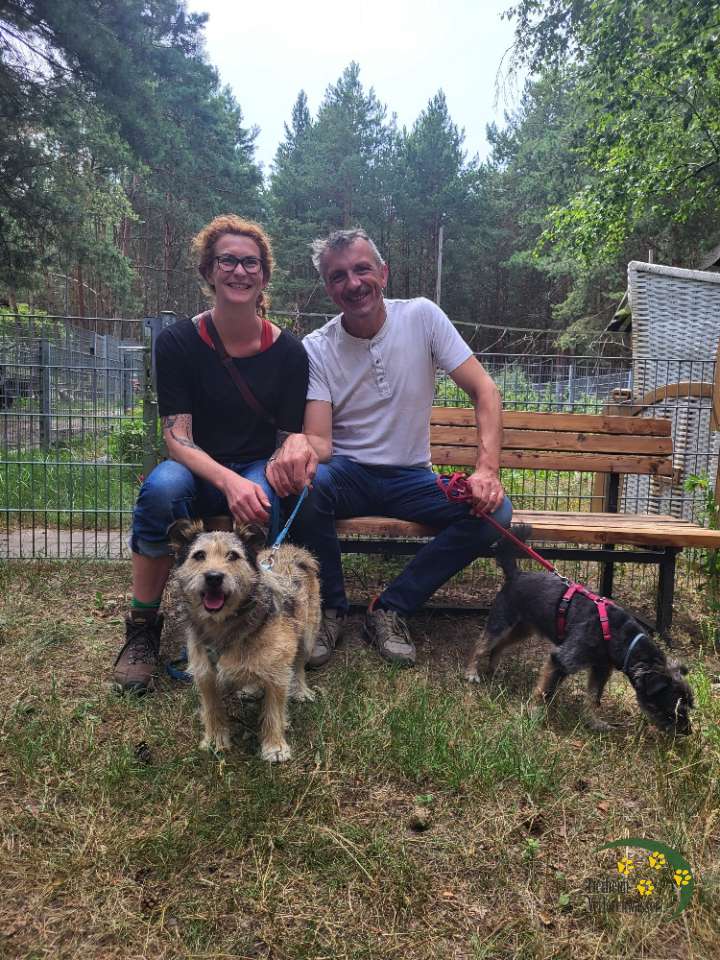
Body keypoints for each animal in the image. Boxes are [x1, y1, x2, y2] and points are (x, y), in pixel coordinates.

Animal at [169, 519, 321, 762]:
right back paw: (251, 688)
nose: (213, 577)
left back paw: (300, 691)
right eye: (199, 555)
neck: (225, 626)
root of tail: (293, 550)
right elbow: (212, 709)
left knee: (298, 666)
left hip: (307, 635)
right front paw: (215, 740)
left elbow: (274, 711)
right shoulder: (205, 674)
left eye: (233, 555)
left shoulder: (278, 674)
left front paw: (275, 746)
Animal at [465, 524, 693, 735]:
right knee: (481, 644)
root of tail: (516, 573)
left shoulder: (600, 669)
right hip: (501, 621)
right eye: (675, 708)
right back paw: (471, 673)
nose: (688, 732)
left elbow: (593, 698)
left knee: (499, 646)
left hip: (524, 629)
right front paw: (535, 715)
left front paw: (594, 722)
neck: (620, 636)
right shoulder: (561, 660)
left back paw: (493, 670)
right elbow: (546, 691)